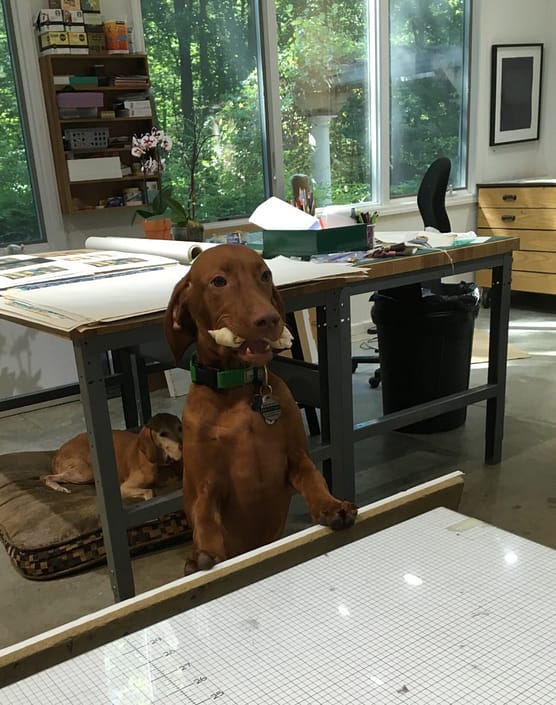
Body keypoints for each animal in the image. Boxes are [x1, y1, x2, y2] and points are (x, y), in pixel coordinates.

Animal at [40, 412, 182, 500]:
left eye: (180, 428)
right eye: (162, 434)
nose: (182, 446)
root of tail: (58, 452)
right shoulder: (124, 488)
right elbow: (149, 491)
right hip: (87, 472)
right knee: (45, 477)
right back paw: (59, 488)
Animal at [163, 242, 358, 572]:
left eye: (265, 275)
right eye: (218, 281)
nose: (269, 319)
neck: (238, 390)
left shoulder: (295, 457)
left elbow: (315, 479)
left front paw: (332, 506)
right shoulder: (205, 484)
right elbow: (204, 518)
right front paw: (203, 553)